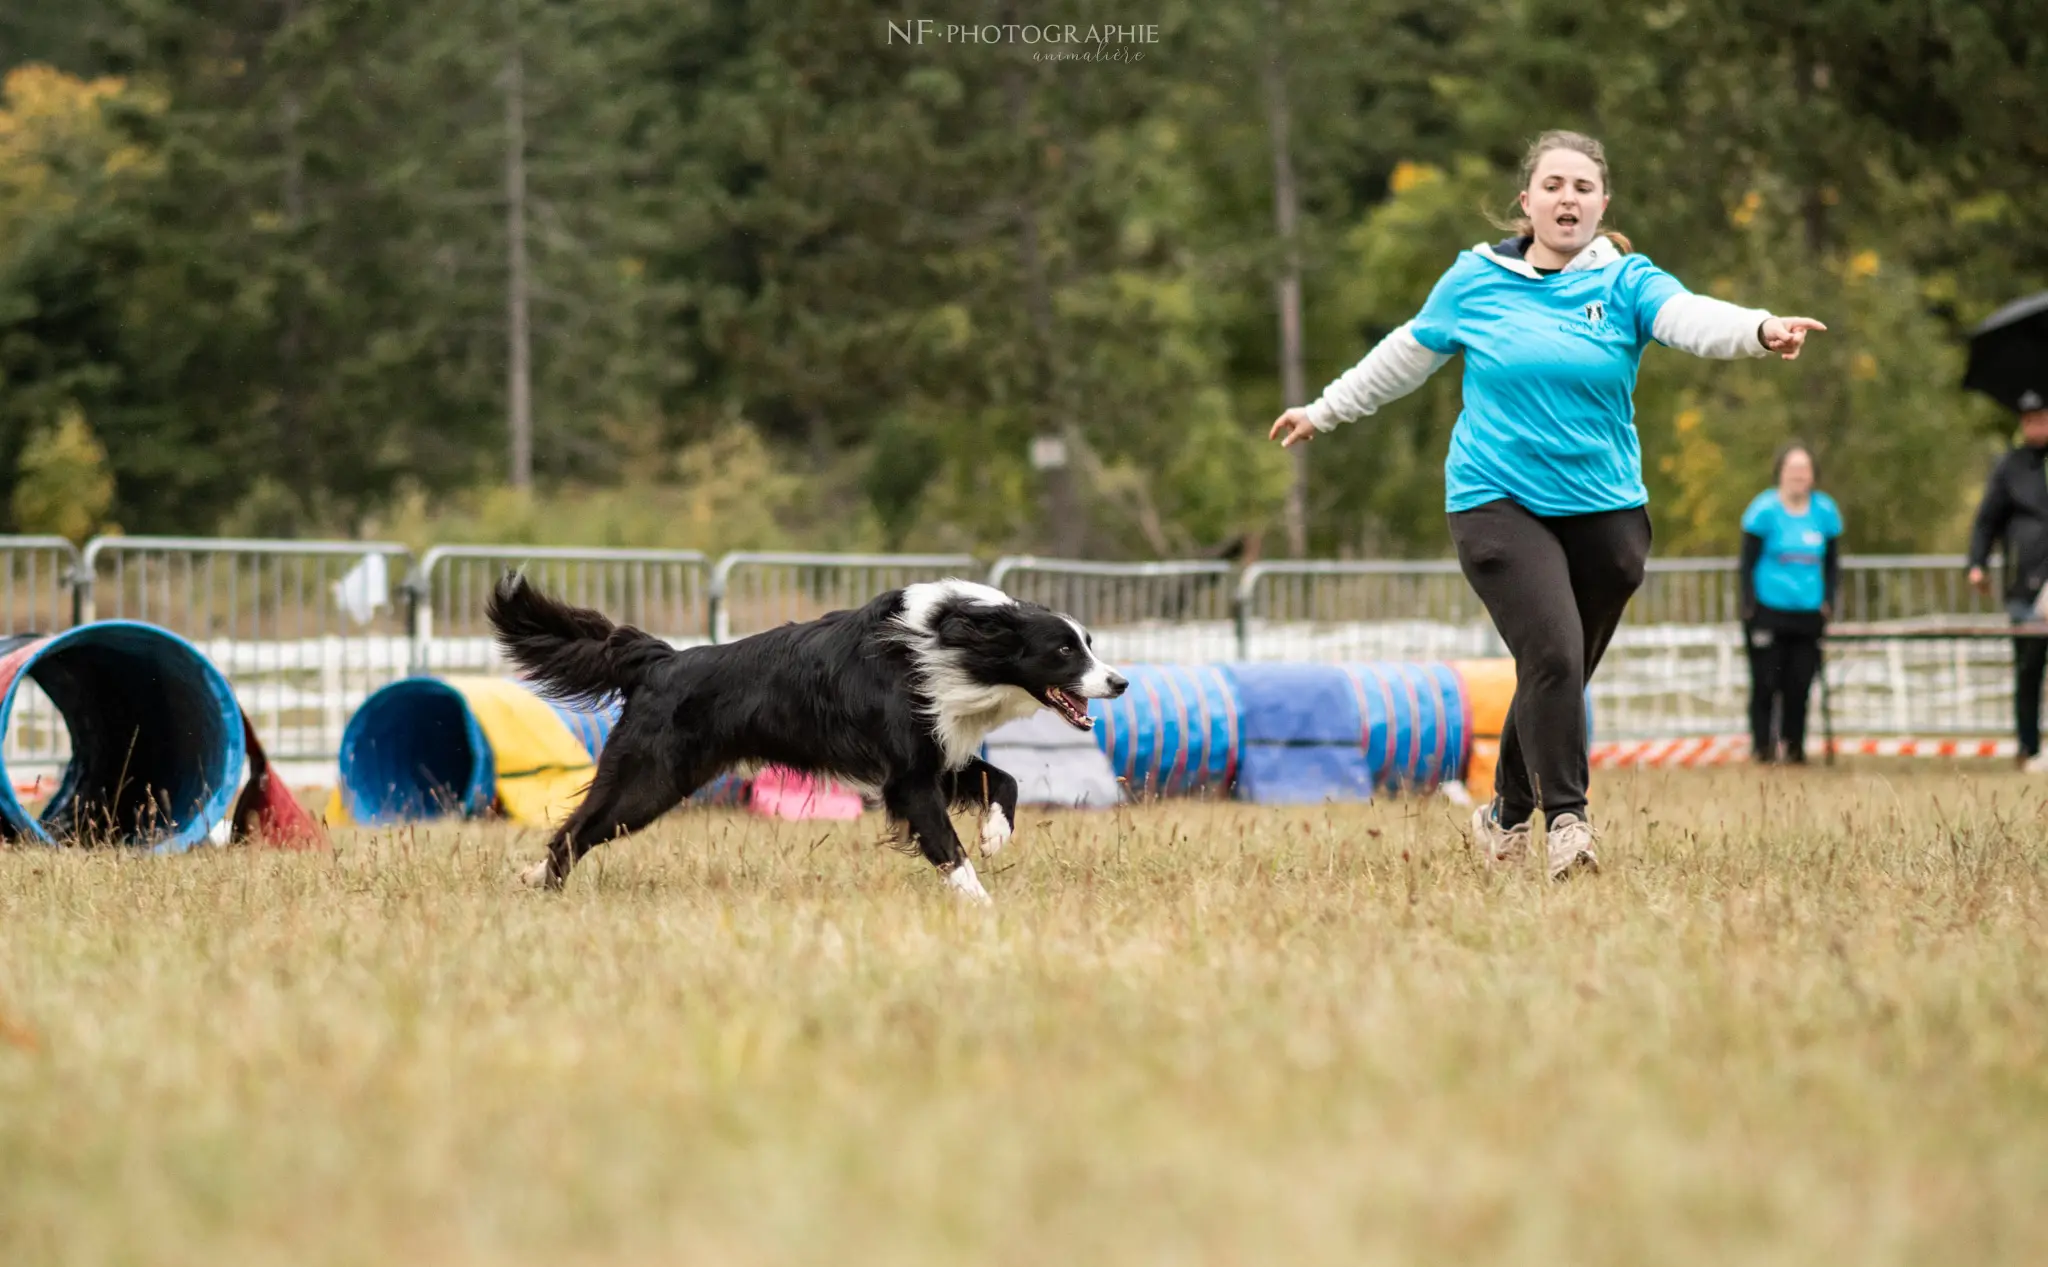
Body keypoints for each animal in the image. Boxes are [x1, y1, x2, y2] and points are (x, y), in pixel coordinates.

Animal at [487, 573, 1130, 900]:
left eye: (1088, 643)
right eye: (1064, 650)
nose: (1121, 683)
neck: (948, 642)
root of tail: (664, 660)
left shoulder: (939, 753)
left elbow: (1007, 779)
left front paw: (996, 834)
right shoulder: (909, 777)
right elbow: (947, 845)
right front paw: (980, 905)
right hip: (650, 779)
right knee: (577, 829)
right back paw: (542, 882)